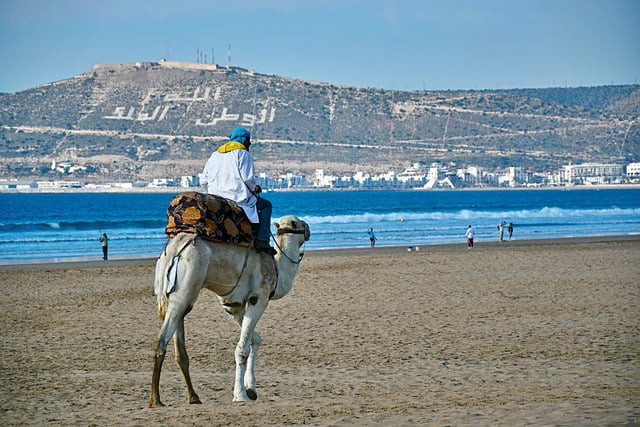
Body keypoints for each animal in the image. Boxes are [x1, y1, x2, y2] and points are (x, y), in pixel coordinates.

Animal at [150, 216, 310, 406]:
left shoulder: (234, 305)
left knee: (178, 347)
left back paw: (193, 397)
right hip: (186, 288)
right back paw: (156, 400)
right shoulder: (259, 298)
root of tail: (175, 249)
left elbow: (255, 339)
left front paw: (251, 389)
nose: (308, 229)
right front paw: (240, 395)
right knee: (161, 340)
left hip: (174, 294)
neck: (277, 270)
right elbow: (242, 349)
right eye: (298, 223)